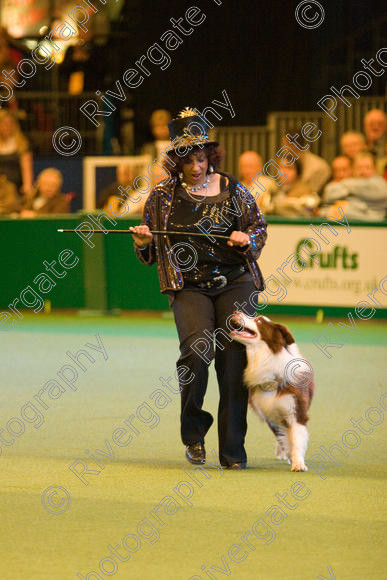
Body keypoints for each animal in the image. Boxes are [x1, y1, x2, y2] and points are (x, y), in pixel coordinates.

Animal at [230, 312, 316, 472]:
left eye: (259, 321)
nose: (236, 312)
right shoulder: (268, 408)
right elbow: (284, 436)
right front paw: (288, 454)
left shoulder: (296, 409)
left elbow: (297, 437)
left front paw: (298, 464)